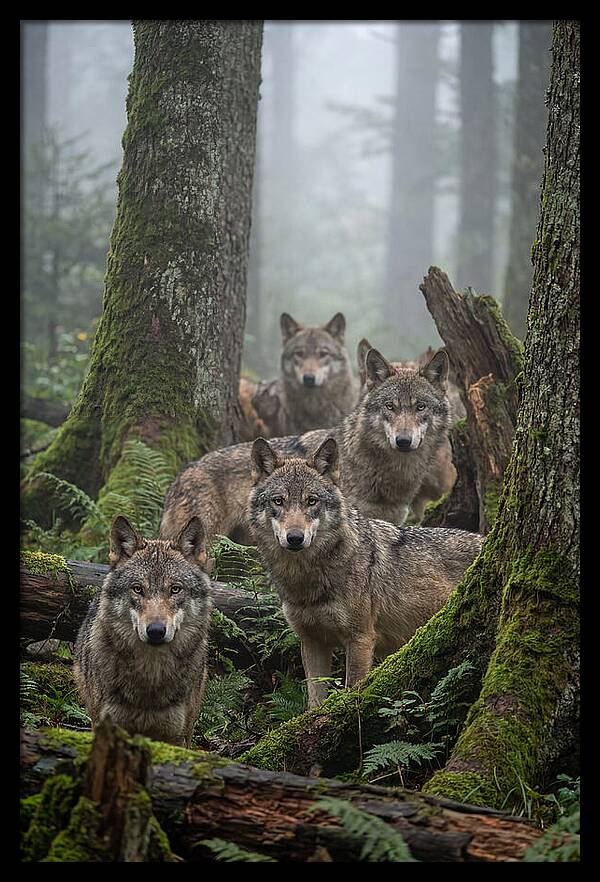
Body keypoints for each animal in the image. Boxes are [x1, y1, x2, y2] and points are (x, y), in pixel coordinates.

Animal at [248, 436, 482, 707]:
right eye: (278, 501)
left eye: (311, 501)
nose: (295, 538)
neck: (306, 580)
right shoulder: (312, 641)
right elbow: (314, 701)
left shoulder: (360, 639)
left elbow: (352, 691)